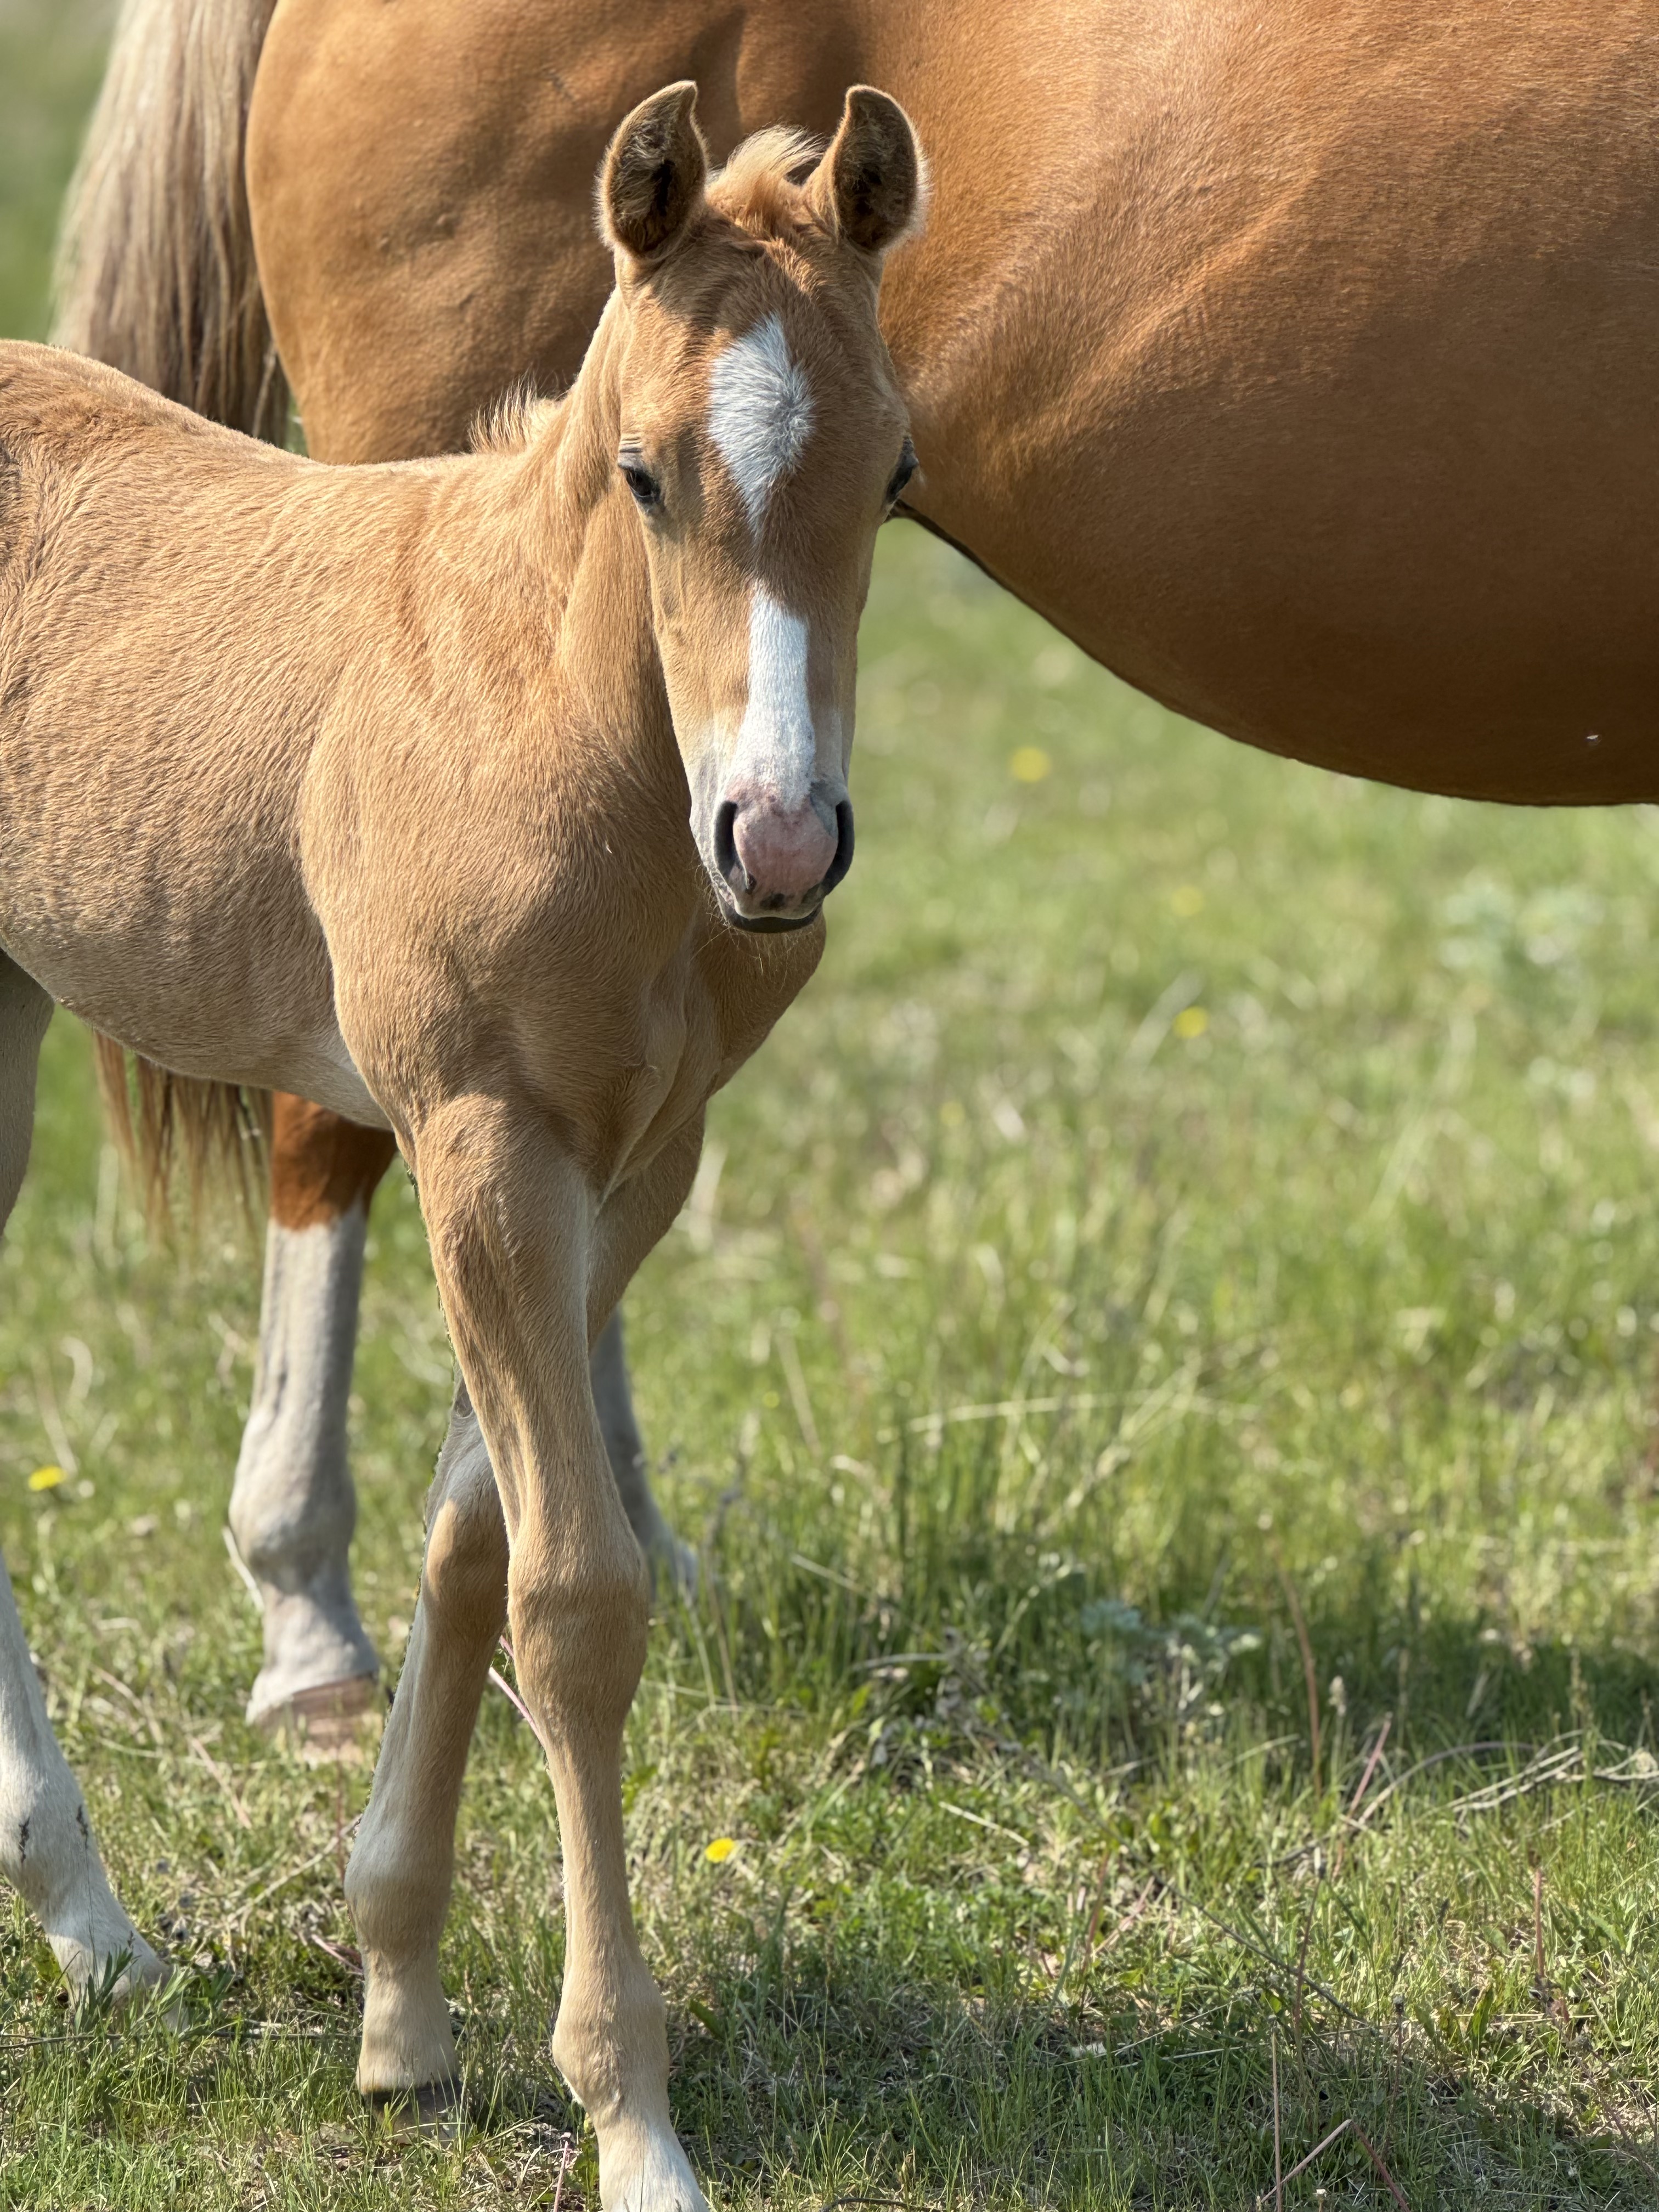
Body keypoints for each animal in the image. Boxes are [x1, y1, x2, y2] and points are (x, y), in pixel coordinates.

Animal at [4, 82, 922, 2206]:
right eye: (646, 473)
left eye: (899, 477)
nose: (780, 843)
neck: (557, 711)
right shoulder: (481, 1135)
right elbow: (575, 1599)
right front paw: (632, 2117)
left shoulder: (631, 1161)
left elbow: (467, 1542)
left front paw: (401, 2012)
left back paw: (92, 1933)